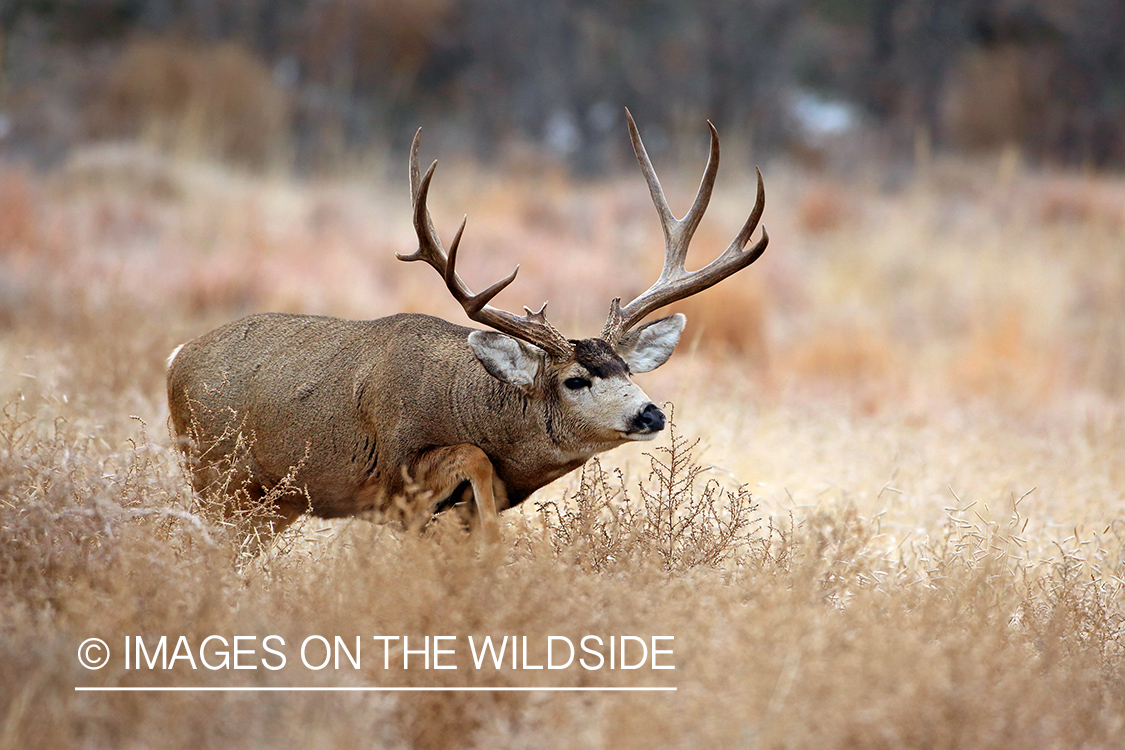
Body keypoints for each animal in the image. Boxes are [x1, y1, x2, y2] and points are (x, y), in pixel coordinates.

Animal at [164, 111, 765, 548]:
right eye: (574, 380)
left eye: (626, 369)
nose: (650, 413)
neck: (472, 403)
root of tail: (176, 357)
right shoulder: (397, 471)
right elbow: (471, 462)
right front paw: (493, 538)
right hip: (215, 475)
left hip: (269, 504)